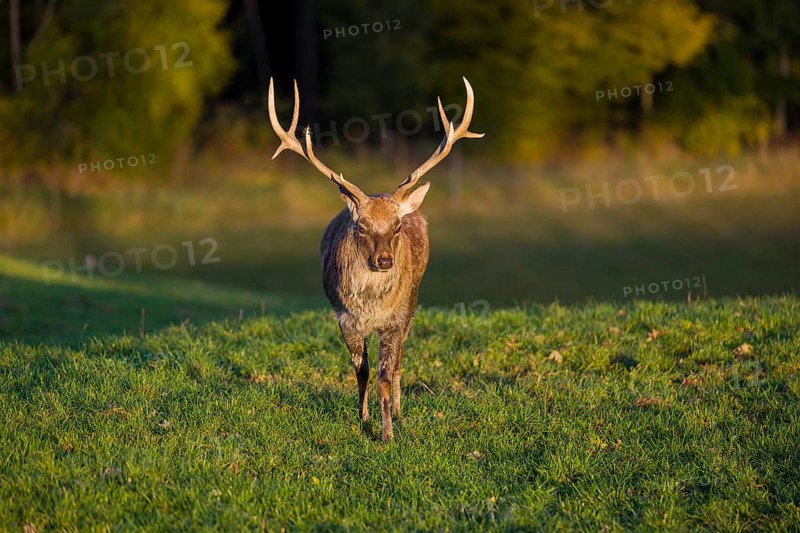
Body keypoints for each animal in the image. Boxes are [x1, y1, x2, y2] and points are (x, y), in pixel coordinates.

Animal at [267, 77, 483, 442]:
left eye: (396, 226)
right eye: (362, 227)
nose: (384, 261)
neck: (370, 305)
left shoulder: (394, 319)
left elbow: (384, 372)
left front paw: (387, 432)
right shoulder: (344, 318)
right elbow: (362, 371)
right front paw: (363, 418)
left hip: (412, 301)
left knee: (399, 362)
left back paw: (399, 411)